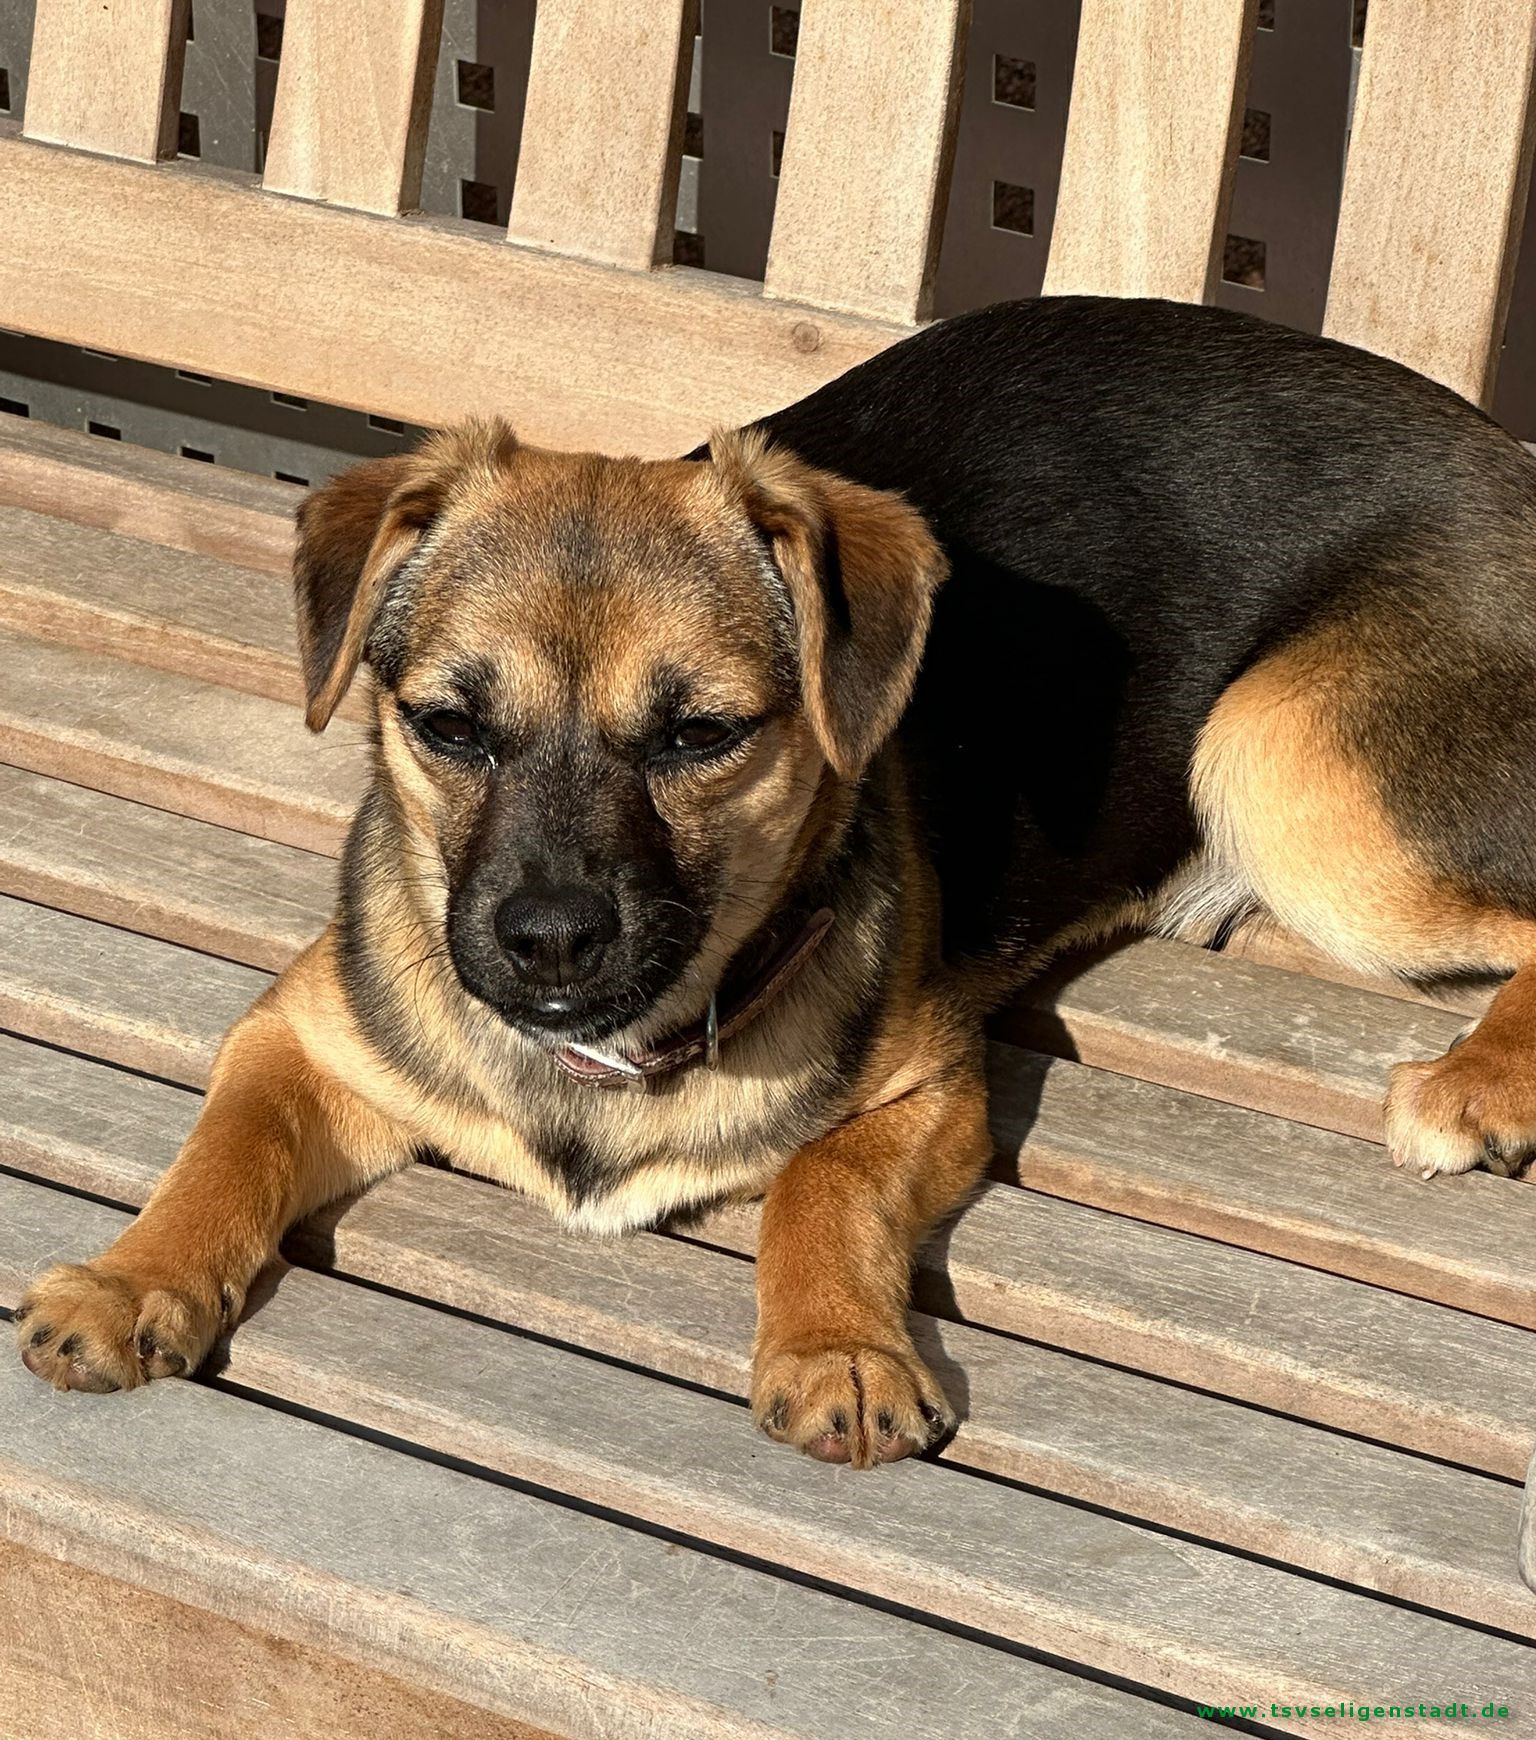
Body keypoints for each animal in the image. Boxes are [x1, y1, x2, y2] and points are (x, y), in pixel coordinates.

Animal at [18, 295, 1536, 1468]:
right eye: (448, 726)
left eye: (703, 736)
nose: (545, 941)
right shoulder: (298, 1035)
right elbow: (226, 1147)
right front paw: (130, 1276)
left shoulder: (936, 1089)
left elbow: (821, 1180)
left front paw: (837, 1353)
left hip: (1280, 765)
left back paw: (1481, 1083)